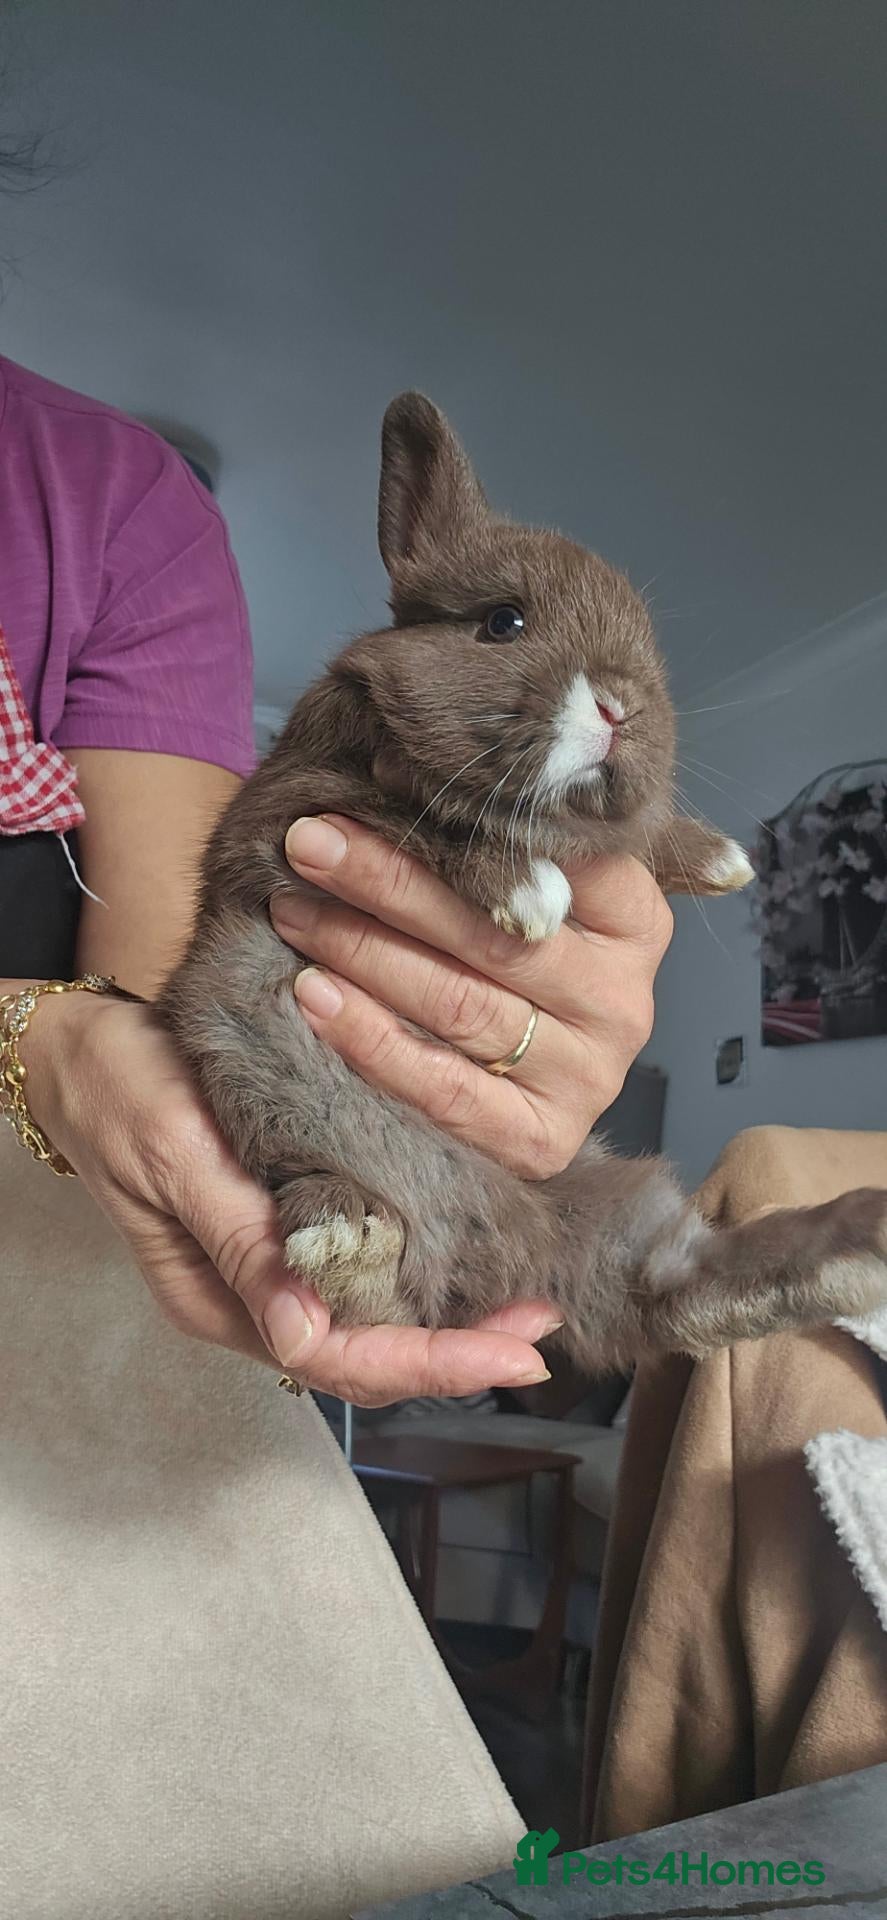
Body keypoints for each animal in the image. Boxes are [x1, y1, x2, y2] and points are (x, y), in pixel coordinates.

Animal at [159, 394, 887, 1373]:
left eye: (648, 648)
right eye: (502, 622)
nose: (621, 706)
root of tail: (508, 1257)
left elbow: (632, 834)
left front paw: (719, 859)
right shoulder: (298, 812)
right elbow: (428, 818)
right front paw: (531, 895)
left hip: (610, 1214)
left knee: (685, 1294)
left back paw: (861, 1241)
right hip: (250, 1058)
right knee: (382, 1293)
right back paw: (350, 1235)